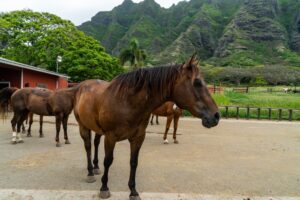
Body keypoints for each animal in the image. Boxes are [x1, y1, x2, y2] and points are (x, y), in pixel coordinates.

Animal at [72, 55, 218, 200]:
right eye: (197, 82)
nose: (216, 116)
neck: (126, 102)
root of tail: (81, 86)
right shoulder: (110, 137)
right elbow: (108, 161)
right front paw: (104, 188)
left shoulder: (138, 137)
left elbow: (133, 162)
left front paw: (133, 191)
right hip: (83, 126)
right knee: (88, 146)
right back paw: (90, 172)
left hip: (98, 129)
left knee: (96, 143)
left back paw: (96, 167)